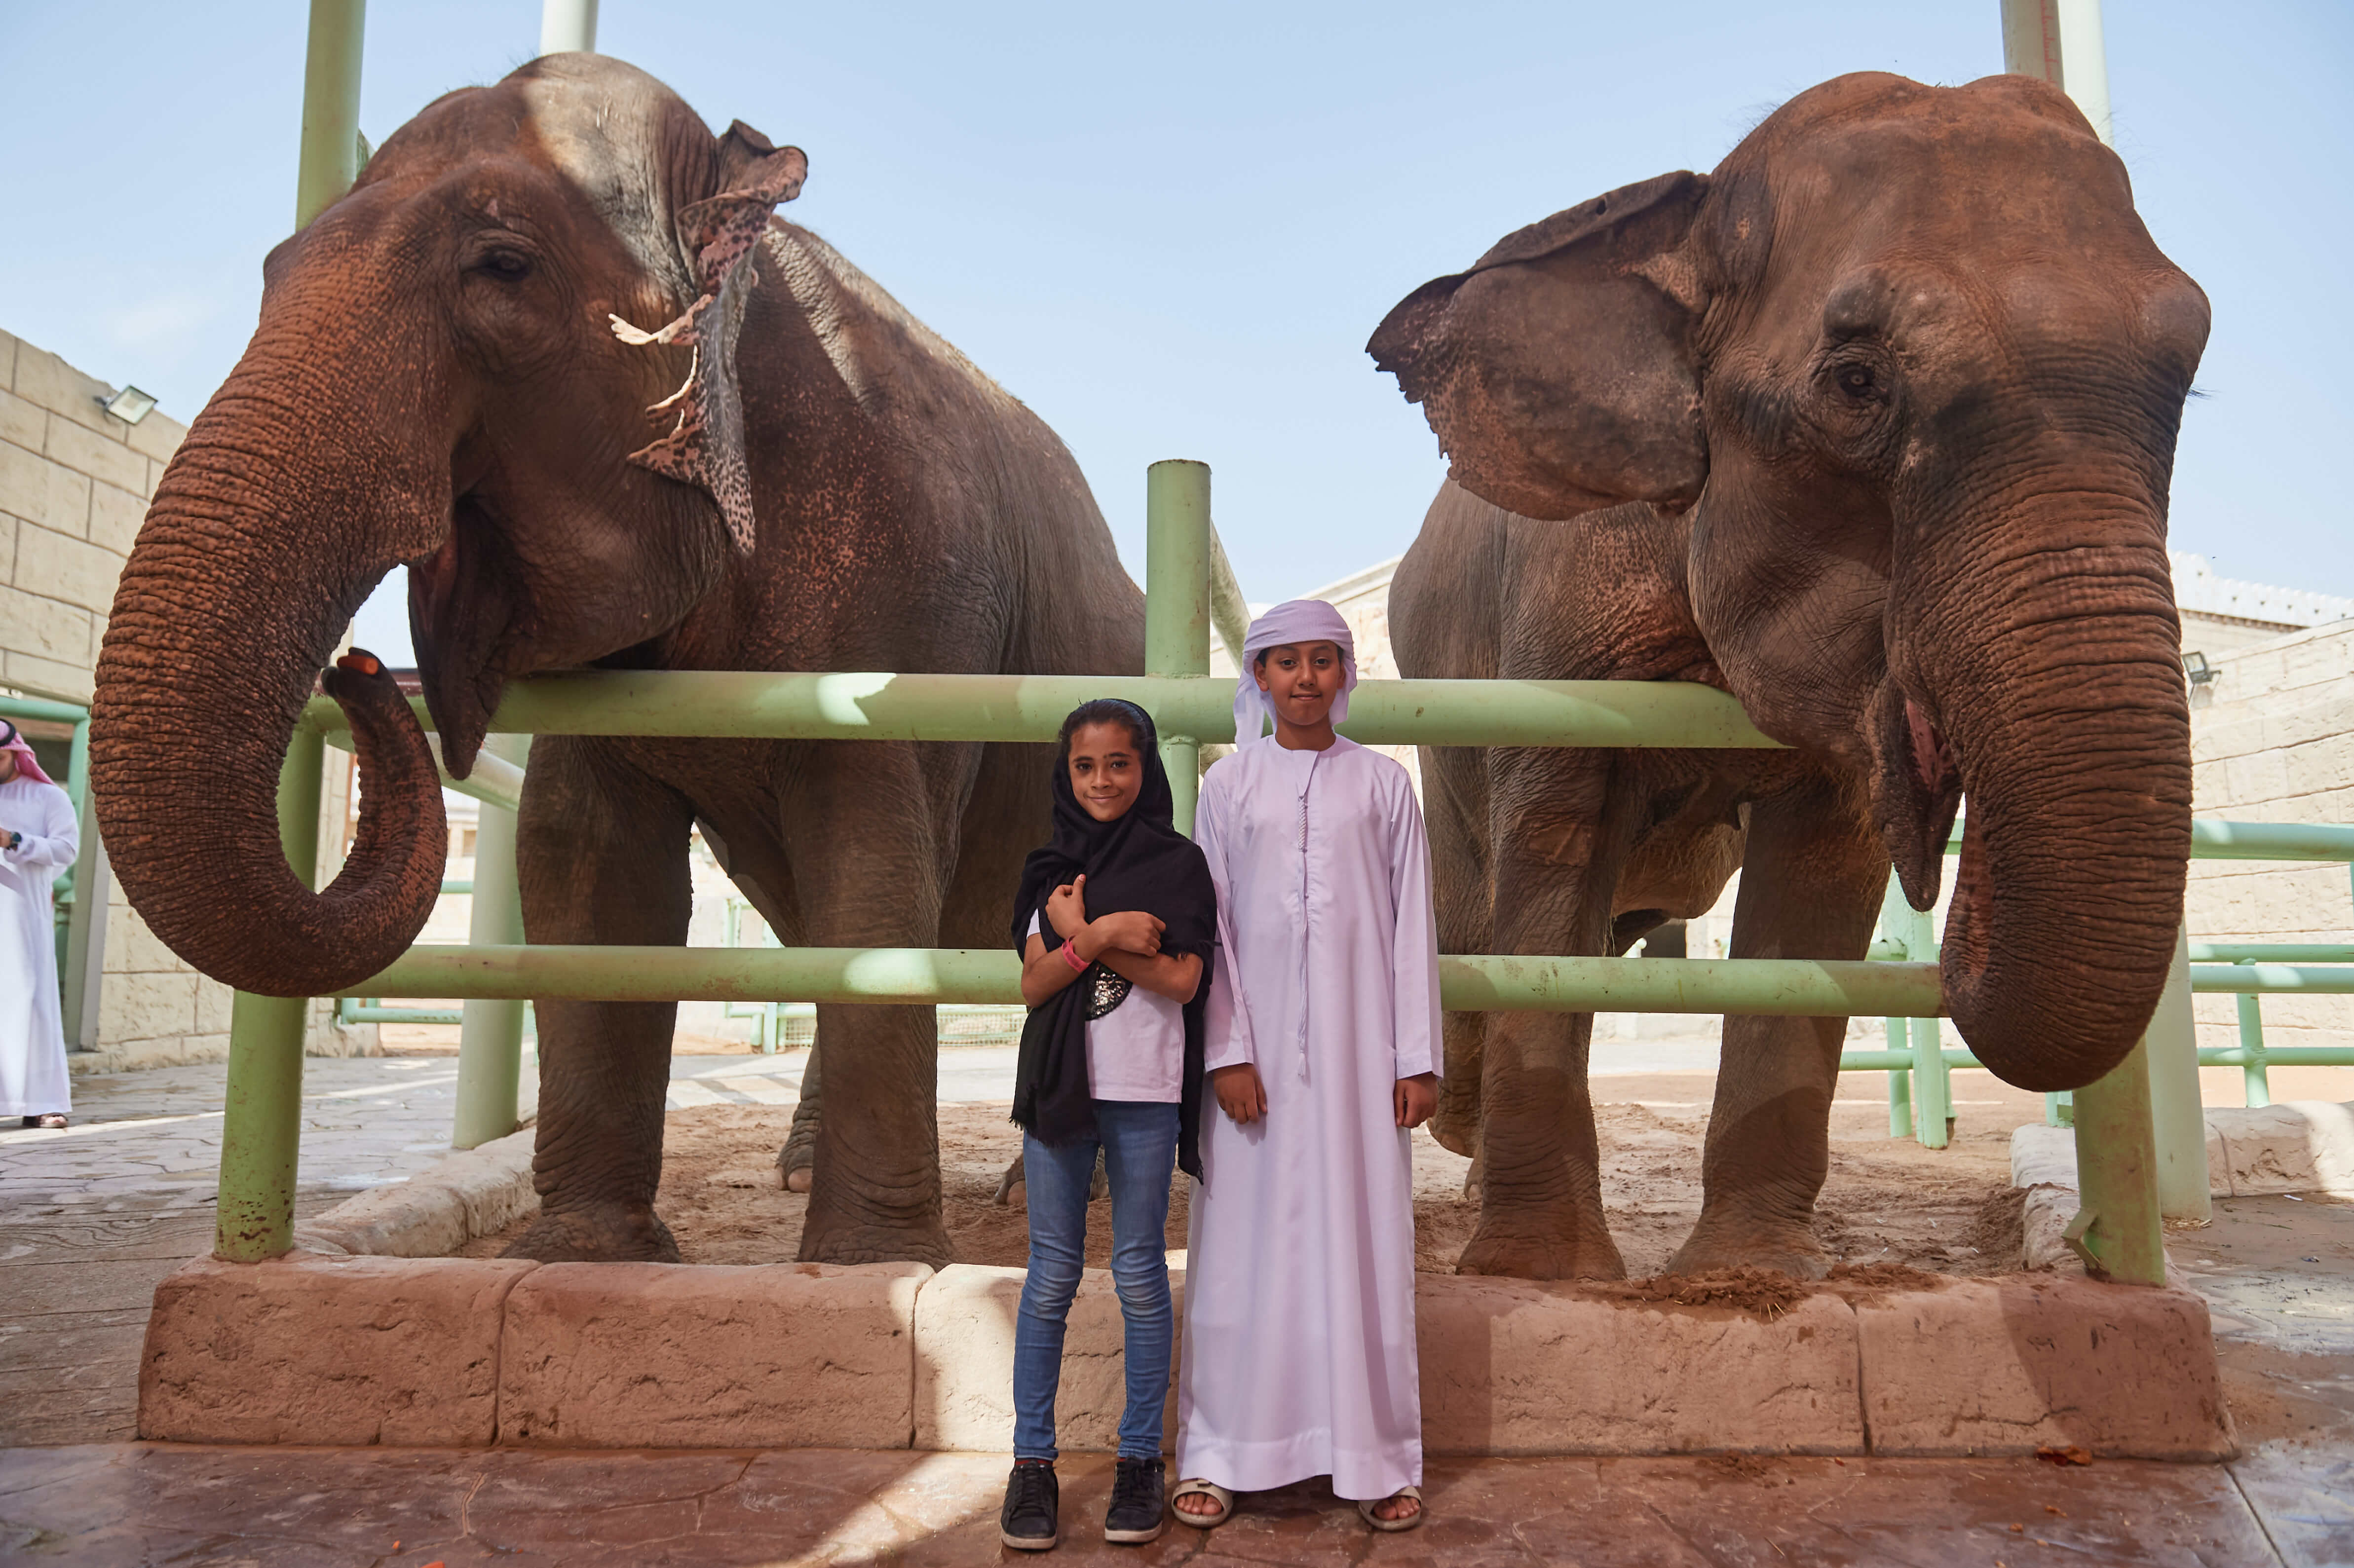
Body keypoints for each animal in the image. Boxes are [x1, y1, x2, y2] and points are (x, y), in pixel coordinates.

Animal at [94, 55, 1148, 1262]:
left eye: (503, 265)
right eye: (272, 271)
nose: (359, 670)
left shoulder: (913, 585)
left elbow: (872, 862)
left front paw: (865, 1265)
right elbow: (582, 860)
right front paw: (583, 1251)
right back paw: (799, 1169)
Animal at [1365, 67, 2203, 1280]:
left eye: (2189, 381)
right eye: (1856, 381)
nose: (1955, 894)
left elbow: (1818, 874)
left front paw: (1745, 1276)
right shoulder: (1559, 608)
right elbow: (1556, 850)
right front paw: (1539, 1272)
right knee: (1473, 912)